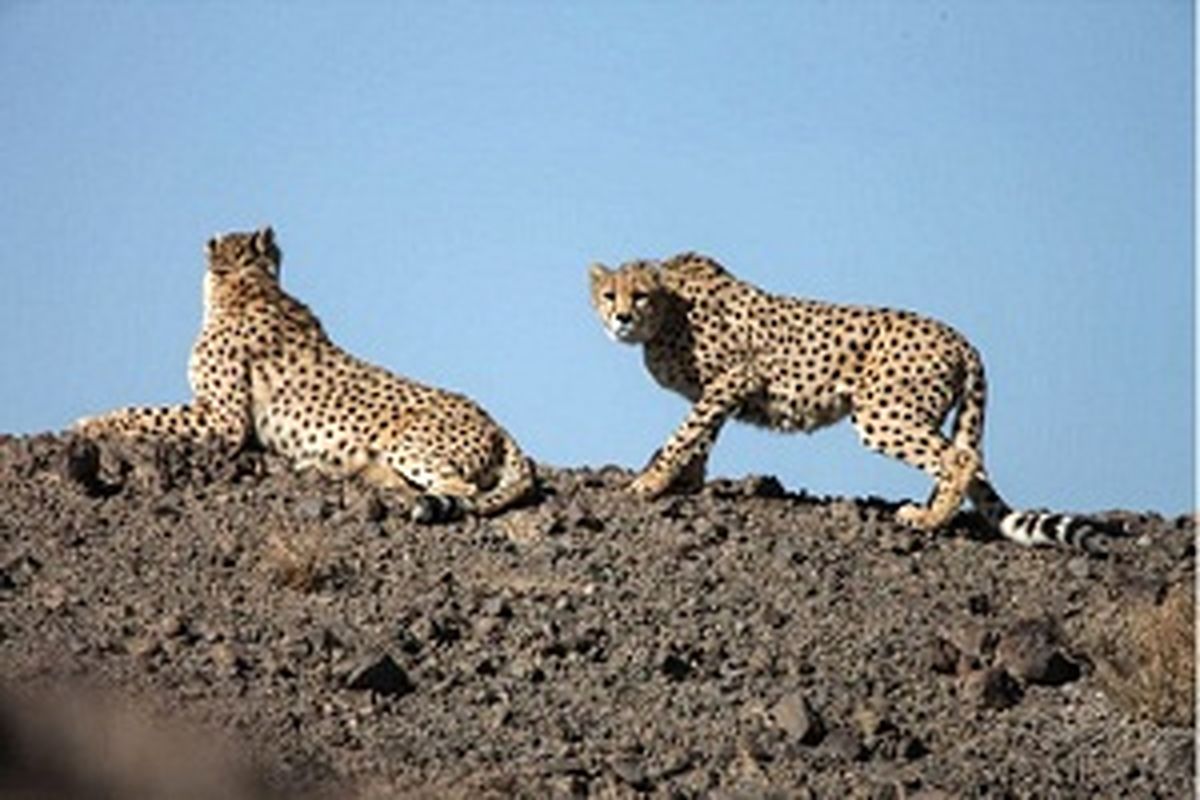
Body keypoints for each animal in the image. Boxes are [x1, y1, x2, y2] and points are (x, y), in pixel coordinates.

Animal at [69, 227, 530, 522]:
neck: (247, 285)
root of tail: (497, 423)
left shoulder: (224, 421)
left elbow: (143, 412)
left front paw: (90, 423)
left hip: (409, 443)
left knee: (458, 490)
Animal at [590, 251, 1113, 551]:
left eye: (639, 295)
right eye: (609, 294)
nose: (620, 318)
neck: (669, 311)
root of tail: (962, 338)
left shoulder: (737, 374)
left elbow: (686, 433)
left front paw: (650, 483)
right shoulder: (719, 390)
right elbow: (702, 434)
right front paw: (687, 482)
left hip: (881, 412)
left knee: (961, 459)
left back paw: (928, 520)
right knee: (962, 461)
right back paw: (933, 511)